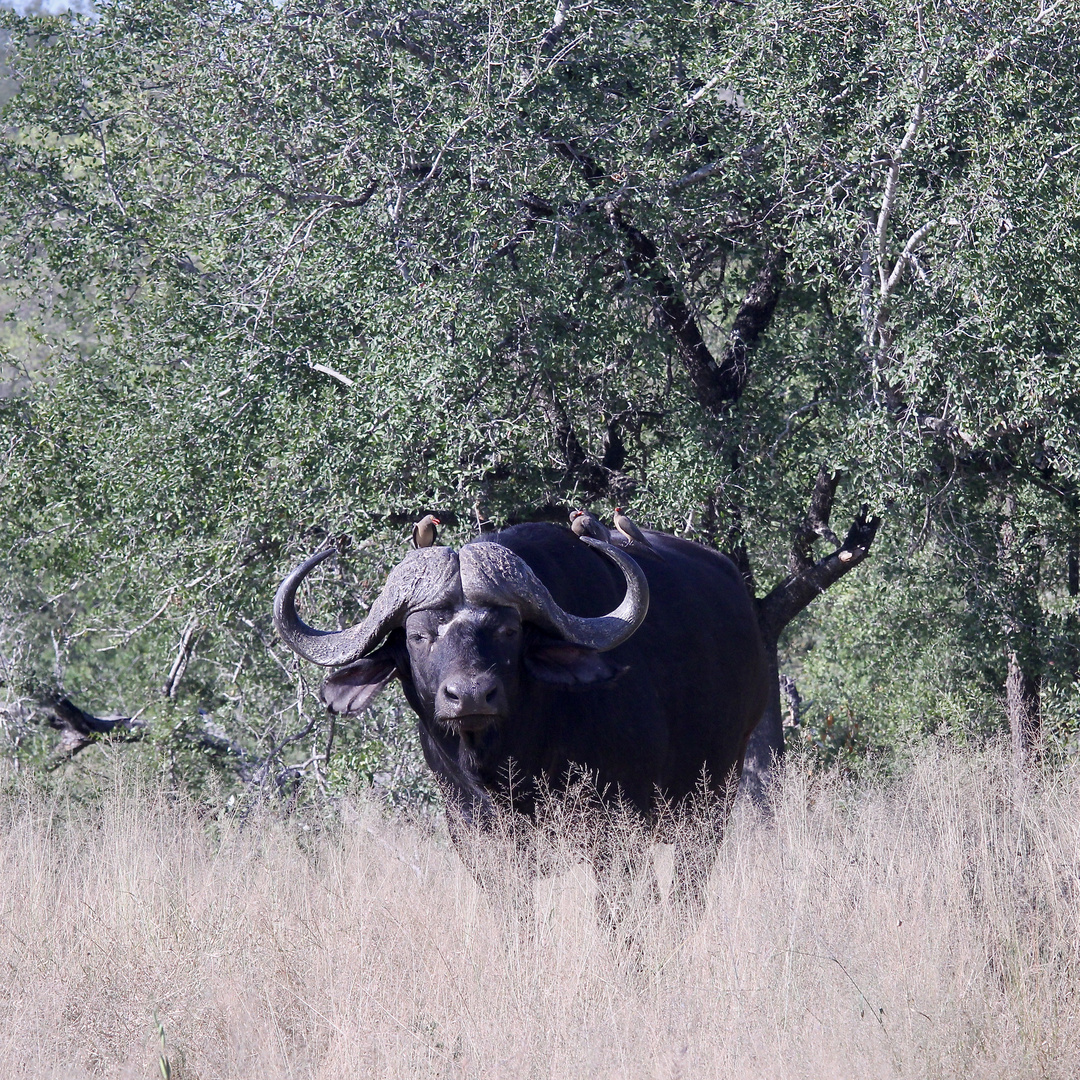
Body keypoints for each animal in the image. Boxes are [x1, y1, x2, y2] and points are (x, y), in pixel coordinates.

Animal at [278, 527, 768, 907]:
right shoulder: (480, 846)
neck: (516, 763)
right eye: (418, 636)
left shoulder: (618, 836)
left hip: (712, 803)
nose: (471, 695)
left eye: (508, 630)